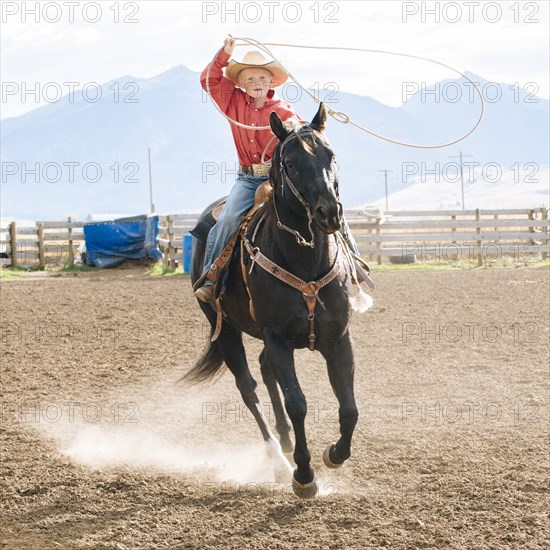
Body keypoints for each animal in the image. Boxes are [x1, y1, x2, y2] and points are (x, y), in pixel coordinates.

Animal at [190, 101, 360, 498]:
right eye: (292, 164)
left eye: (331, 155)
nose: (330, 212)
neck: (305, 260)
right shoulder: (278, 337)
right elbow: (297, 403)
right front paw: (304, 475)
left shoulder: (338, 337)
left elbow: (349, 408)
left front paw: (334, 454)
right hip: (225, 331)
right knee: (249, 389)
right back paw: (280, 462)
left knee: (265, 371)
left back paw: (285, 443)